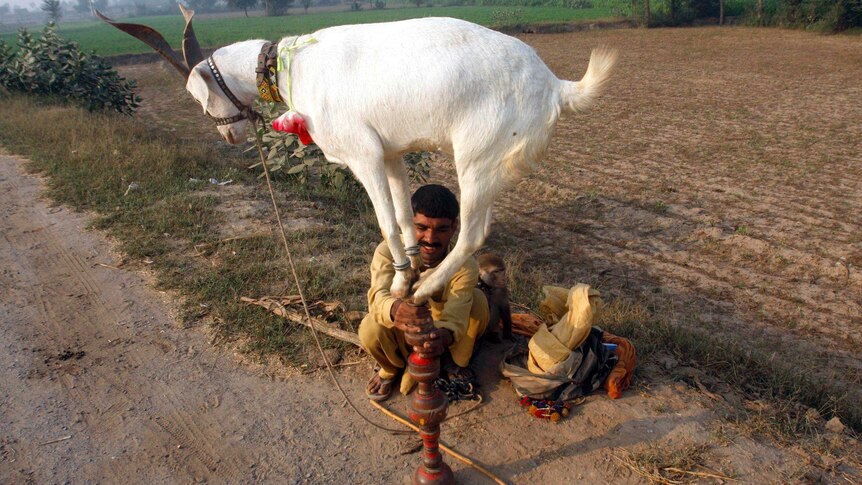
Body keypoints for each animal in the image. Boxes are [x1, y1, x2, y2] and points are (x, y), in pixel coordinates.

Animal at [98, 9, 616, 300]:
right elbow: (404, 217)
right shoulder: (390, 153)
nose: (229, 136)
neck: (290, 65)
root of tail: (555, 85)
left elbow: (384, 220)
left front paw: (405, 282)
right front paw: (410, 264)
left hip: (479, 155)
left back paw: (428, 288)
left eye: (200, 99)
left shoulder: (362, 154)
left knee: (473, 231)